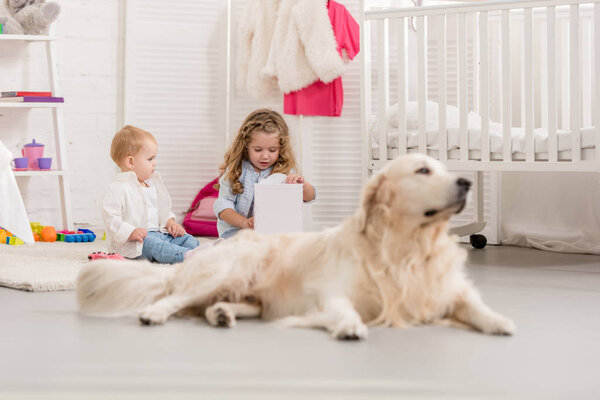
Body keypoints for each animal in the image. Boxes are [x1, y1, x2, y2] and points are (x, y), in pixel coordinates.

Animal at [77, 155, 512, 340]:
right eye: (422, 170)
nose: (466, 182)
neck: (406, 247)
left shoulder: (446, 290)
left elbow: (473, 305)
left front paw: (498, 321)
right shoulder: (332, 292)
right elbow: (342, 308)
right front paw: (350, 326)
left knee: (218, 303)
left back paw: (221, 313)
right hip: (229, 268)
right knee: (176, 297)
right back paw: (155, 312)